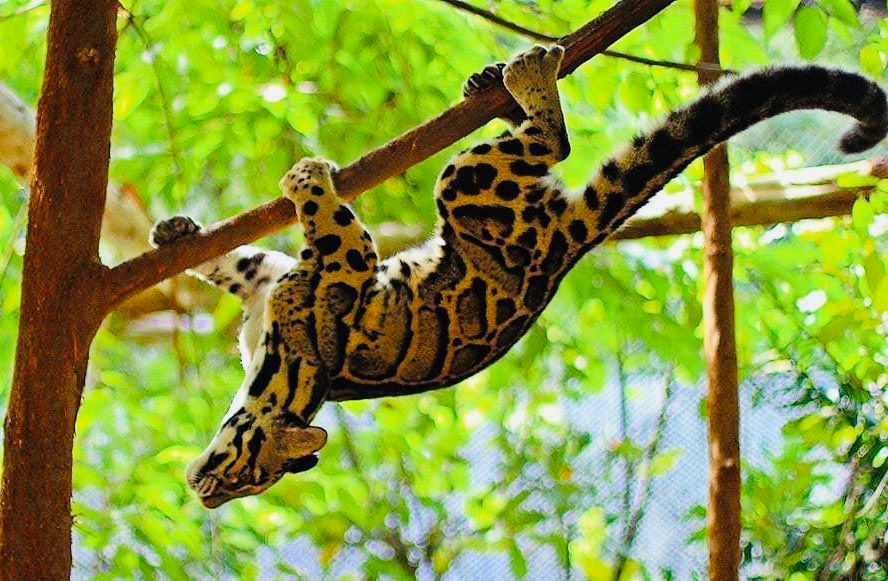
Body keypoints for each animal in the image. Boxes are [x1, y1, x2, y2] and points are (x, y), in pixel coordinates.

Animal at [150, 45, 888, 508]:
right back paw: (494, 86)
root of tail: (569, 245)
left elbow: (333, 221)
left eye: (243, 476)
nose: (202, 495)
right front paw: (177, 235)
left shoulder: (342, 264)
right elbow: (236, 261)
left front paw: (307, 177)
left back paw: (529, 79)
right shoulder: (264, 281)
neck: (280, 373)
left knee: (552, 143)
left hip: (465, 185)